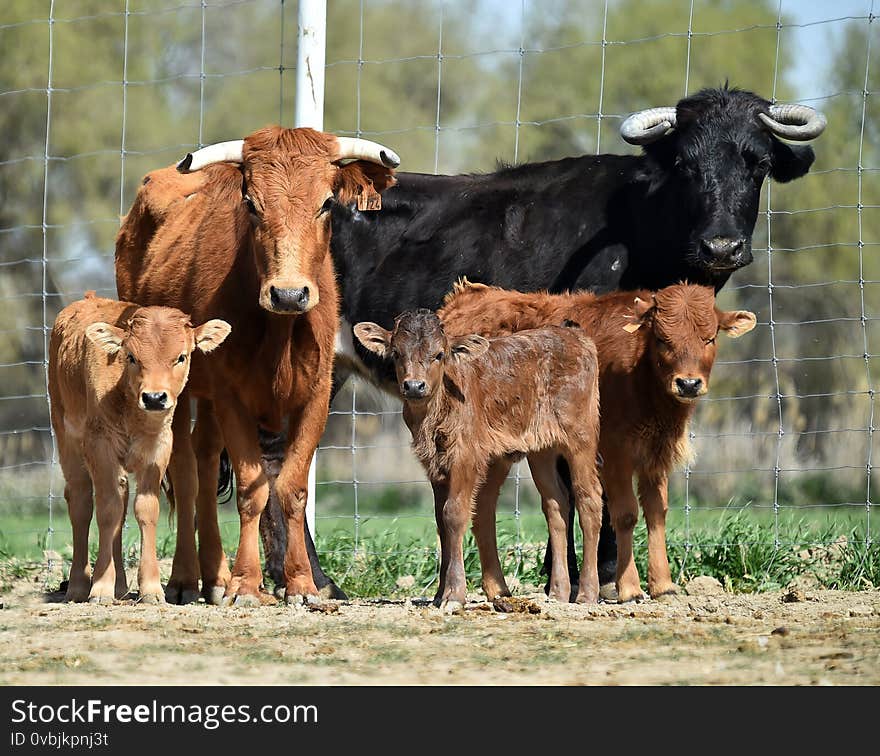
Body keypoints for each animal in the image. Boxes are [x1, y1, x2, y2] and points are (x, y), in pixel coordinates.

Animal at [47, 292, 229, 604]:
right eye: (131, 356)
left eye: (181, 356)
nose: (155, 397)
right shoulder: (100, 447)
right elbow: (106, 509)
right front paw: (101, 588)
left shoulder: (158, 450)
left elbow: (144, 508)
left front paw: (151, 588)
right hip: (66, 437)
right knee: (81, 502)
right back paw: (80, 585)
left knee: (120, 499)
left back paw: (120, 584)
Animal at [115, 127, 398, 604]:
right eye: (250, 203)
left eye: (327, 203)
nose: (288, 294)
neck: (279, 333)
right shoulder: (232, 397)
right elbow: (252, 488)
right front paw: (247, 584)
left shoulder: (315, 395)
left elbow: (292, 488)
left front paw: (301, 583)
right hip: (173, 388)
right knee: (186, 469)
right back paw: (186, 579)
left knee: (206, 456)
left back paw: (215, 576)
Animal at [352, 310, 604, 604]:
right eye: (396, 353)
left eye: (439, 354)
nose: (414, 386)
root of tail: (575, 335)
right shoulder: (434, 465)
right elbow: (440, 520)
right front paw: (439, 594)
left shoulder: (465, 456)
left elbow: (454, 513)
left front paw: (454, 593)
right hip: (542, 449)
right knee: (556, 504)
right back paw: (557, 592)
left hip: (581, 438)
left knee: (589, 499)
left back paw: (587, 592)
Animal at [440, 280, 756, 604]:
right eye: (661, 338)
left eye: (709, 338)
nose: (688, 383)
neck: (639, 372)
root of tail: (462, 300)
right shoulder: (615, 453)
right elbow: (626, 513)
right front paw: (629, 588)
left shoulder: (655, 454)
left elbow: (657, 512)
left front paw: (663, 585)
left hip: (499, 453)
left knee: (483, 505)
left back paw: (497, 588)